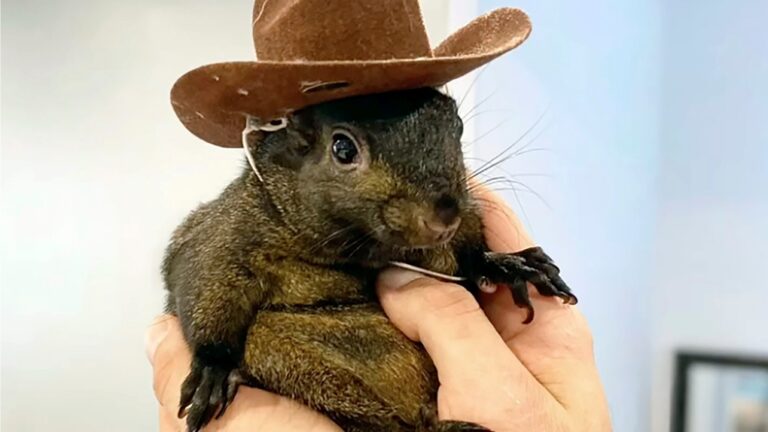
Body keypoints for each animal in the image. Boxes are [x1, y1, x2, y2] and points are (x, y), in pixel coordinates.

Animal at [162, 87, 577, 432]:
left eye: (457, 126)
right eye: (343, 149)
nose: (444, 215)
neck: (361, 249)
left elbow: (469, 254)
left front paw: (505, 264)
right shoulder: (228, 234)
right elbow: (205, 281)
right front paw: (213, 368)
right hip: (281, 351)